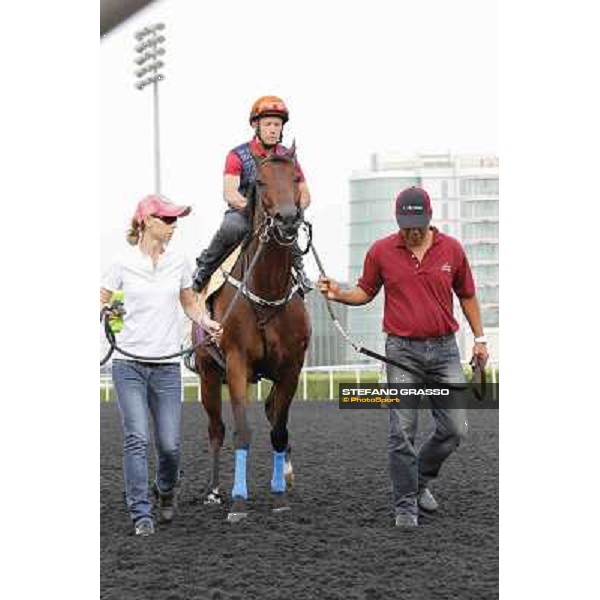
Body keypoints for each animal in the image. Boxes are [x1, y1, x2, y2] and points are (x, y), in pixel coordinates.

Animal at [192, 143, 312, 524]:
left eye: (296, 177)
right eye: (260, 180)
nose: (288, 219)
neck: (266, 289)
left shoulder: (291, 367)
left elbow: (278, 430)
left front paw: (279, 495)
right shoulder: (236, 363)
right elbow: (242, 431)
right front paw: (238, 501)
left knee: (273, 412)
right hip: (208, 376)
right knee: (216, 429)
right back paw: (215, 492)